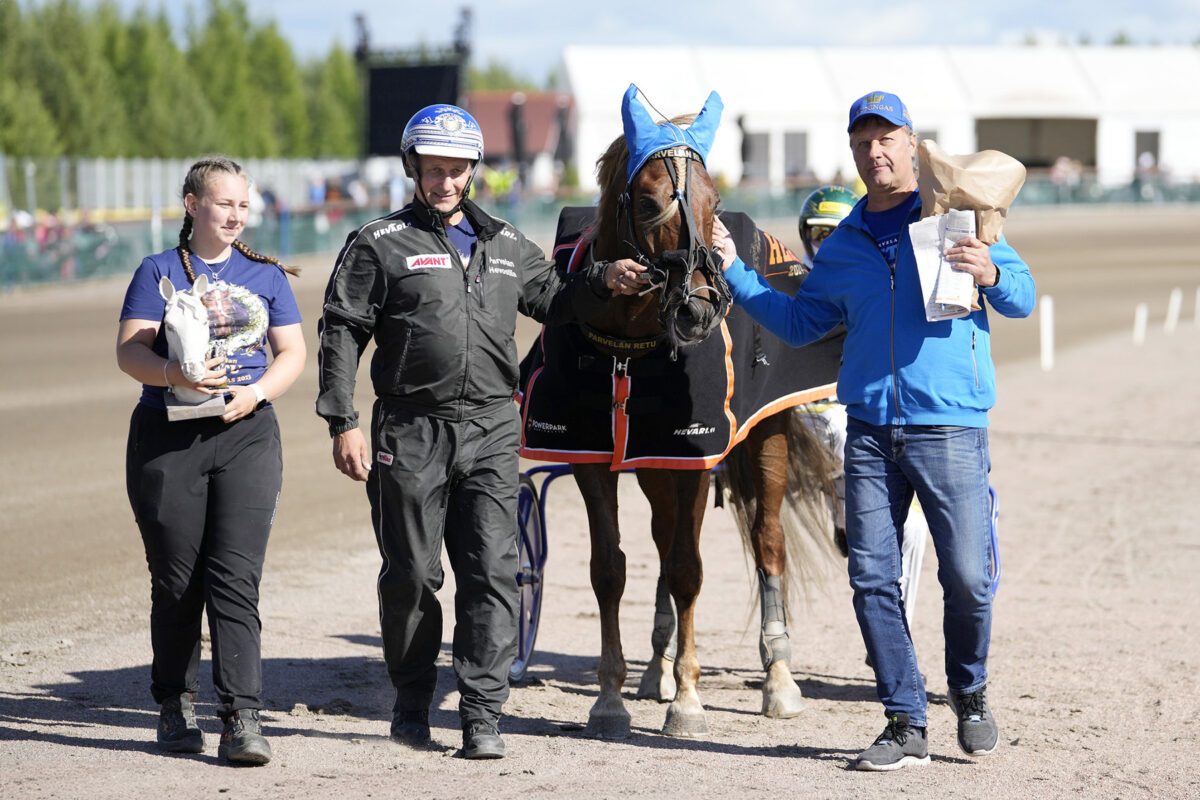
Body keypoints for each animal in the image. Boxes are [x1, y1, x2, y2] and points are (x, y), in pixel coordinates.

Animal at [520, 86, 840, 738]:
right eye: (647, 202)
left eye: (713, 201)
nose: (700, 305)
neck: (630, 346)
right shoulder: (596, 454)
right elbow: (611, 568)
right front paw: (611, 697)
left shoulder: (693, 452)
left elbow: (690, 567)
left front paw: (689, 701)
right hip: (651, 465)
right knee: (665, 538)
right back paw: (657, 669)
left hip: (764, 438)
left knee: (768, 542)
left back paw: (778, 679)